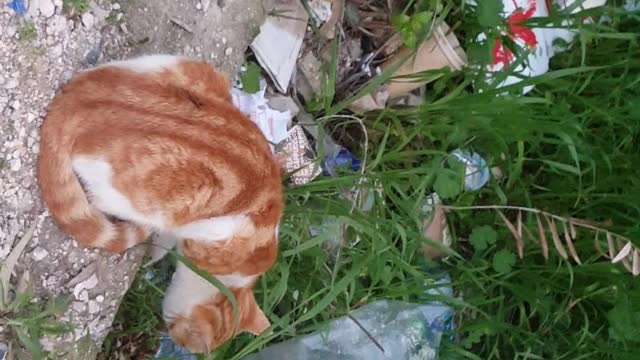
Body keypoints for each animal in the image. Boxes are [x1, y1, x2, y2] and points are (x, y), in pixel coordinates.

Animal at [36, 54, 282, 352]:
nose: (176, 341)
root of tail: (76, 104)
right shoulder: (210, 233)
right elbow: (168, 244)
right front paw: (155, 256)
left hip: (180, 66)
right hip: (163, 200)